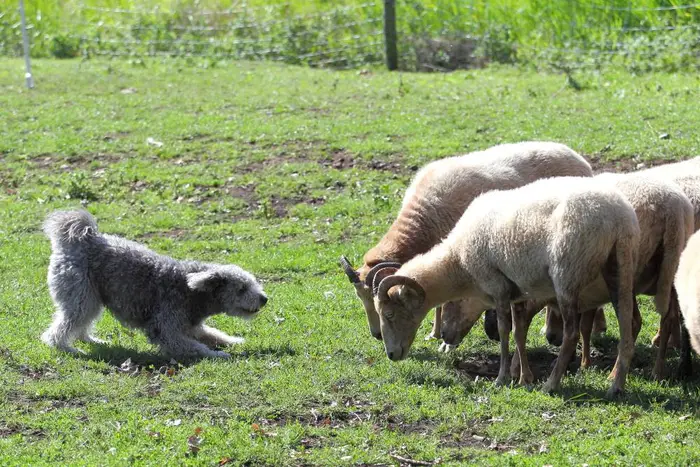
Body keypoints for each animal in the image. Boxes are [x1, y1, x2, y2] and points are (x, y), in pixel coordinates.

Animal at [340, 141, 592, 342]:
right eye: (360, 297)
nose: (377, 334)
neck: (422, 218)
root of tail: (576, 156)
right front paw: (434, 333)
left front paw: (438, 332)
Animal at [372, 176, 640, 398]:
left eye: (389, 314)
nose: (391, 355)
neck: (458, 261)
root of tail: (617, 216)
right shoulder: (517, 293)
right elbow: (520, 332)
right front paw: (524, 378)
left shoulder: (497, 288)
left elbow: (503, 331)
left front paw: (501, 378)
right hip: (621, 267)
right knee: (627, 324)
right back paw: (616, 385)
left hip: (567, 274)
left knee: (572, 332)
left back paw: (551, 384)